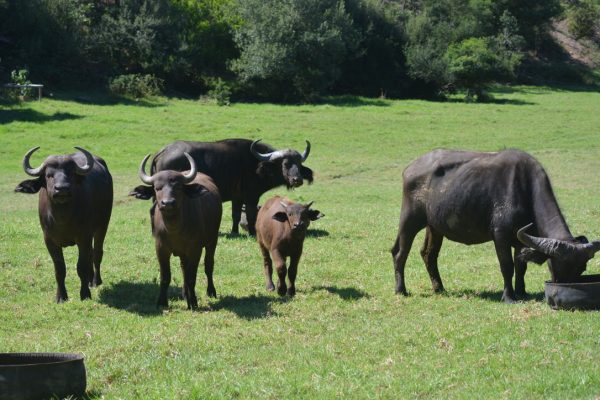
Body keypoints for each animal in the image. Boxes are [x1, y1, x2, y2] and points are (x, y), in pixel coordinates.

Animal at [15, 148, 113, 304]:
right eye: (49, 175)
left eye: (71, 173)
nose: (61, 189)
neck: (62, 218)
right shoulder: (49, 241)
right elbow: (59, 269)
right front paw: (61, 296)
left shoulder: (83, 238)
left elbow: (81, 266)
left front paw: (85, 294)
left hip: (103, 225)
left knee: (97, 252)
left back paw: (95, 281)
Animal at [131, 139, 314, 236]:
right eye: (285, 163)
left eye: (298, 164)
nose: (297, 179)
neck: (256, 165)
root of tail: (163, 151)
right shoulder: (251, 197)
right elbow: (251, 215)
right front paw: (252, 233)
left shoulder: (237, 197)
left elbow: (235, 215)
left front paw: (234, 232)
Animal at [392, 150, 596, 304]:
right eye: (557, 264)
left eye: (582, 268)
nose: (564, 289)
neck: (524, 189)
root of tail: (409, 169)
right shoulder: (501, 236)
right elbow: (507, 266)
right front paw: (509, 297)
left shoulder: (521, 240)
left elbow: (521, 267)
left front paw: (522, 292)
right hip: (409, 220)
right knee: (400, 252)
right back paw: (401, 290)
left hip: (434, 227)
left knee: (429, 254)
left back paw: (439, 288)